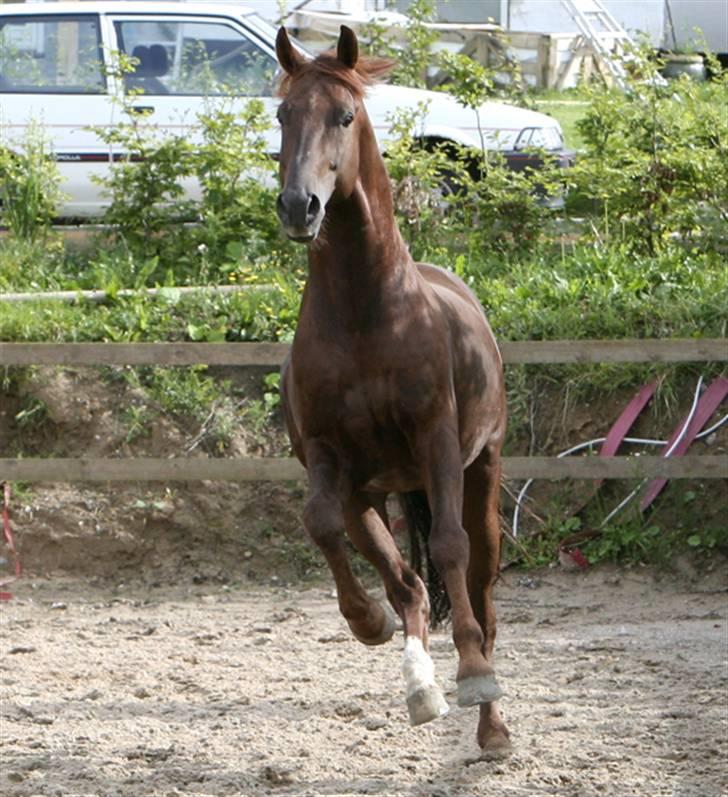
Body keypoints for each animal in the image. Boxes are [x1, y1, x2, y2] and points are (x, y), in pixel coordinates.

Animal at [276, 26, 510, 752]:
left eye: (344, 116)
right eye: (283, 114)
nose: (298, 206)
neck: (364, 315)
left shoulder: (437, 444)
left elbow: (451, 550)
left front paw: (475, 678)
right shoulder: (330, 458)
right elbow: (320, 524)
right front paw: (366, 621)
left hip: (482, 469)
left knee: (480, 586)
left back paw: (490, 721)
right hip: (372, 492)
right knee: (406, 583)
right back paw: (419, 686)